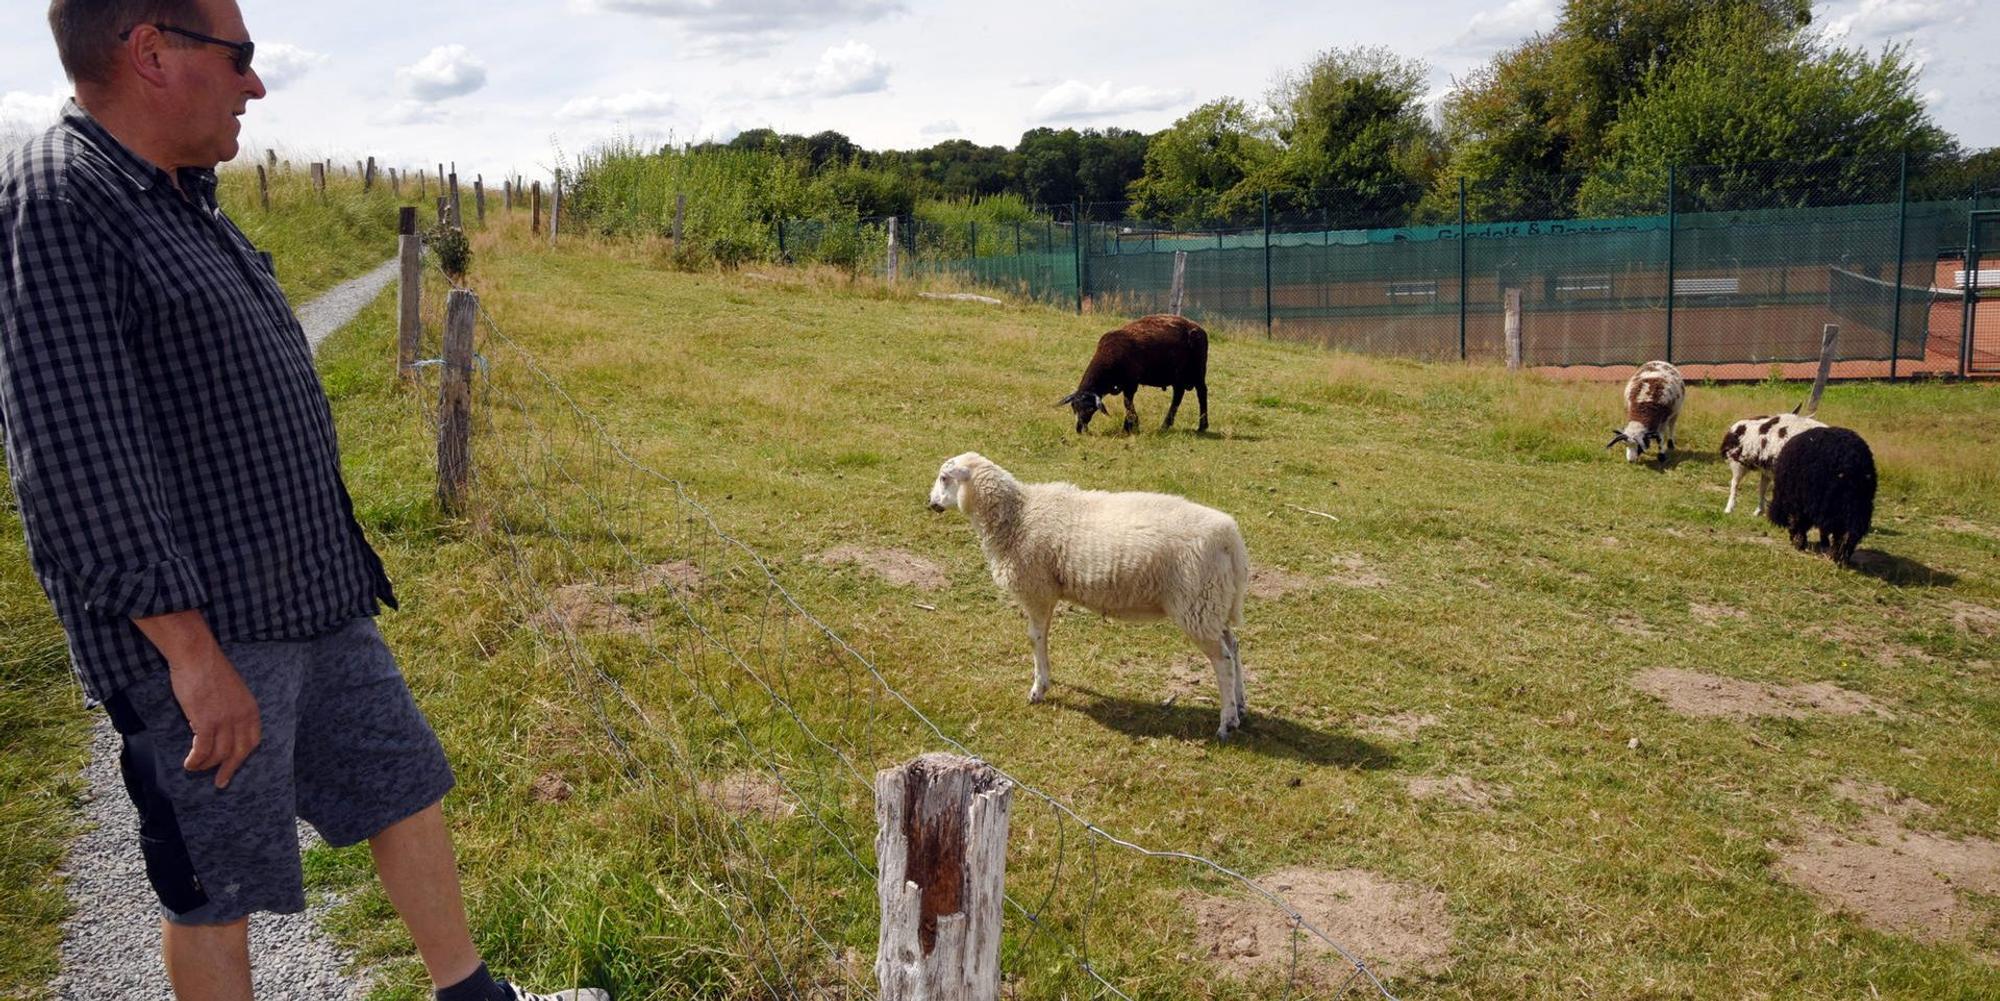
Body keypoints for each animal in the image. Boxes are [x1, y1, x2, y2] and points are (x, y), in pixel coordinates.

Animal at [926, 452, 1250, 739]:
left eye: (944, 478)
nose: (930, 503)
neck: (1018, 515)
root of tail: (1230, 537)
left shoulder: (1037, 590)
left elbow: (1035, 637)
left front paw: (1038, 688)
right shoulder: (1046, 591)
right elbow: (1042, 637)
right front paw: (1046, 678)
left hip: (1197, 603)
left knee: (1222, 660)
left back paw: (1226, 723)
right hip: (1213, 602)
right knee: (1233, 647)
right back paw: (1240, 705)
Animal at [1057, 314, 1209, 434]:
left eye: (1090, 409)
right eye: (1073, 407)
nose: (1079, 429)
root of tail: (1200, 329)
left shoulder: (1131, 382)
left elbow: (1127, 402)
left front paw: (1131, 425)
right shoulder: (1124, 384)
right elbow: (1128, 402)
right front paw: (1129, 425)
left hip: (1197, 370)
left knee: (1201, 392)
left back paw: (1202, 425)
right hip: (1178, 375)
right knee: (1178, 394)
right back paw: (1166, 425)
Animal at [1766, 426, 1877, 567]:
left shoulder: (1801, 502)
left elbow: (1798, 521)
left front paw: (1799, 542)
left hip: (1833, 502)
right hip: (1858, 504)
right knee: (1850, 532)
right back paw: (1841, 557)